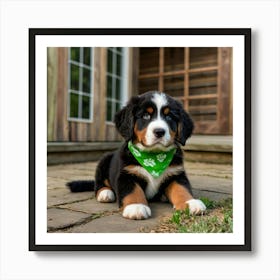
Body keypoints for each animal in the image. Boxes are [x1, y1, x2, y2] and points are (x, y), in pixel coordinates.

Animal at [68, 91, 206, 220]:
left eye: (169, 117)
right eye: (145, 116)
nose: (159, 132)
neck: (154, 157)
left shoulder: (176, 174)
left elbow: (181, 189)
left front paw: (190, 203)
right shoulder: (126, 174)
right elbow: (133, 190)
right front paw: (136, 207)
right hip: (104, 160)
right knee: (98, 183)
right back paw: (105, 193)